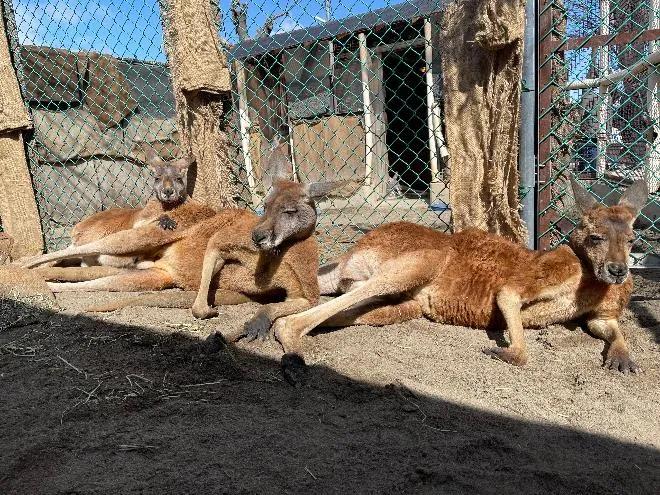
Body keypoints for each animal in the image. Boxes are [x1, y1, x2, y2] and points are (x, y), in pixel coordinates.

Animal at [31, 149, 217, 282]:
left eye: (179, 178)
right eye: (157, 178)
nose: (168, 192)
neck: (167, 206)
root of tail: (76, 235)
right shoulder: (140, 219)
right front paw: (166, 221)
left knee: (88, 261)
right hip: (103, 232)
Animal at [272, 177, 649, 383]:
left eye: (632, 240)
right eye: (596, 238)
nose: (619, 271)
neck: (590, 277)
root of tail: (359, 246)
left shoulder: (602, 310)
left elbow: (607, 326)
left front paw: (623, 358)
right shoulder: (529, 281)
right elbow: (514, 318)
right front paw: (505, 353)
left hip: (405, 301)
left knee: (348, 307)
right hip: (423, 260)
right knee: (308, 316)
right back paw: (290, 345)